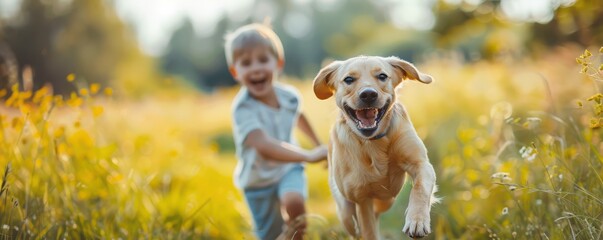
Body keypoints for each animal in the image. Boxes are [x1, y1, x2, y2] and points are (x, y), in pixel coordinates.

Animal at [314, 55, 436, 238]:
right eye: (348, 79)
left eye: (382, 76)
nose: (368, 94)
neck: (372, 141)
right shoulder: (361, 197)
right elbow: (368, 230)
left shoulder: (421, 164)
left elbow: (420, 188)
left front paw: (417, 221)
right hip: (345, 209)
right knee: (353, 225)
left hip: (387, 199)